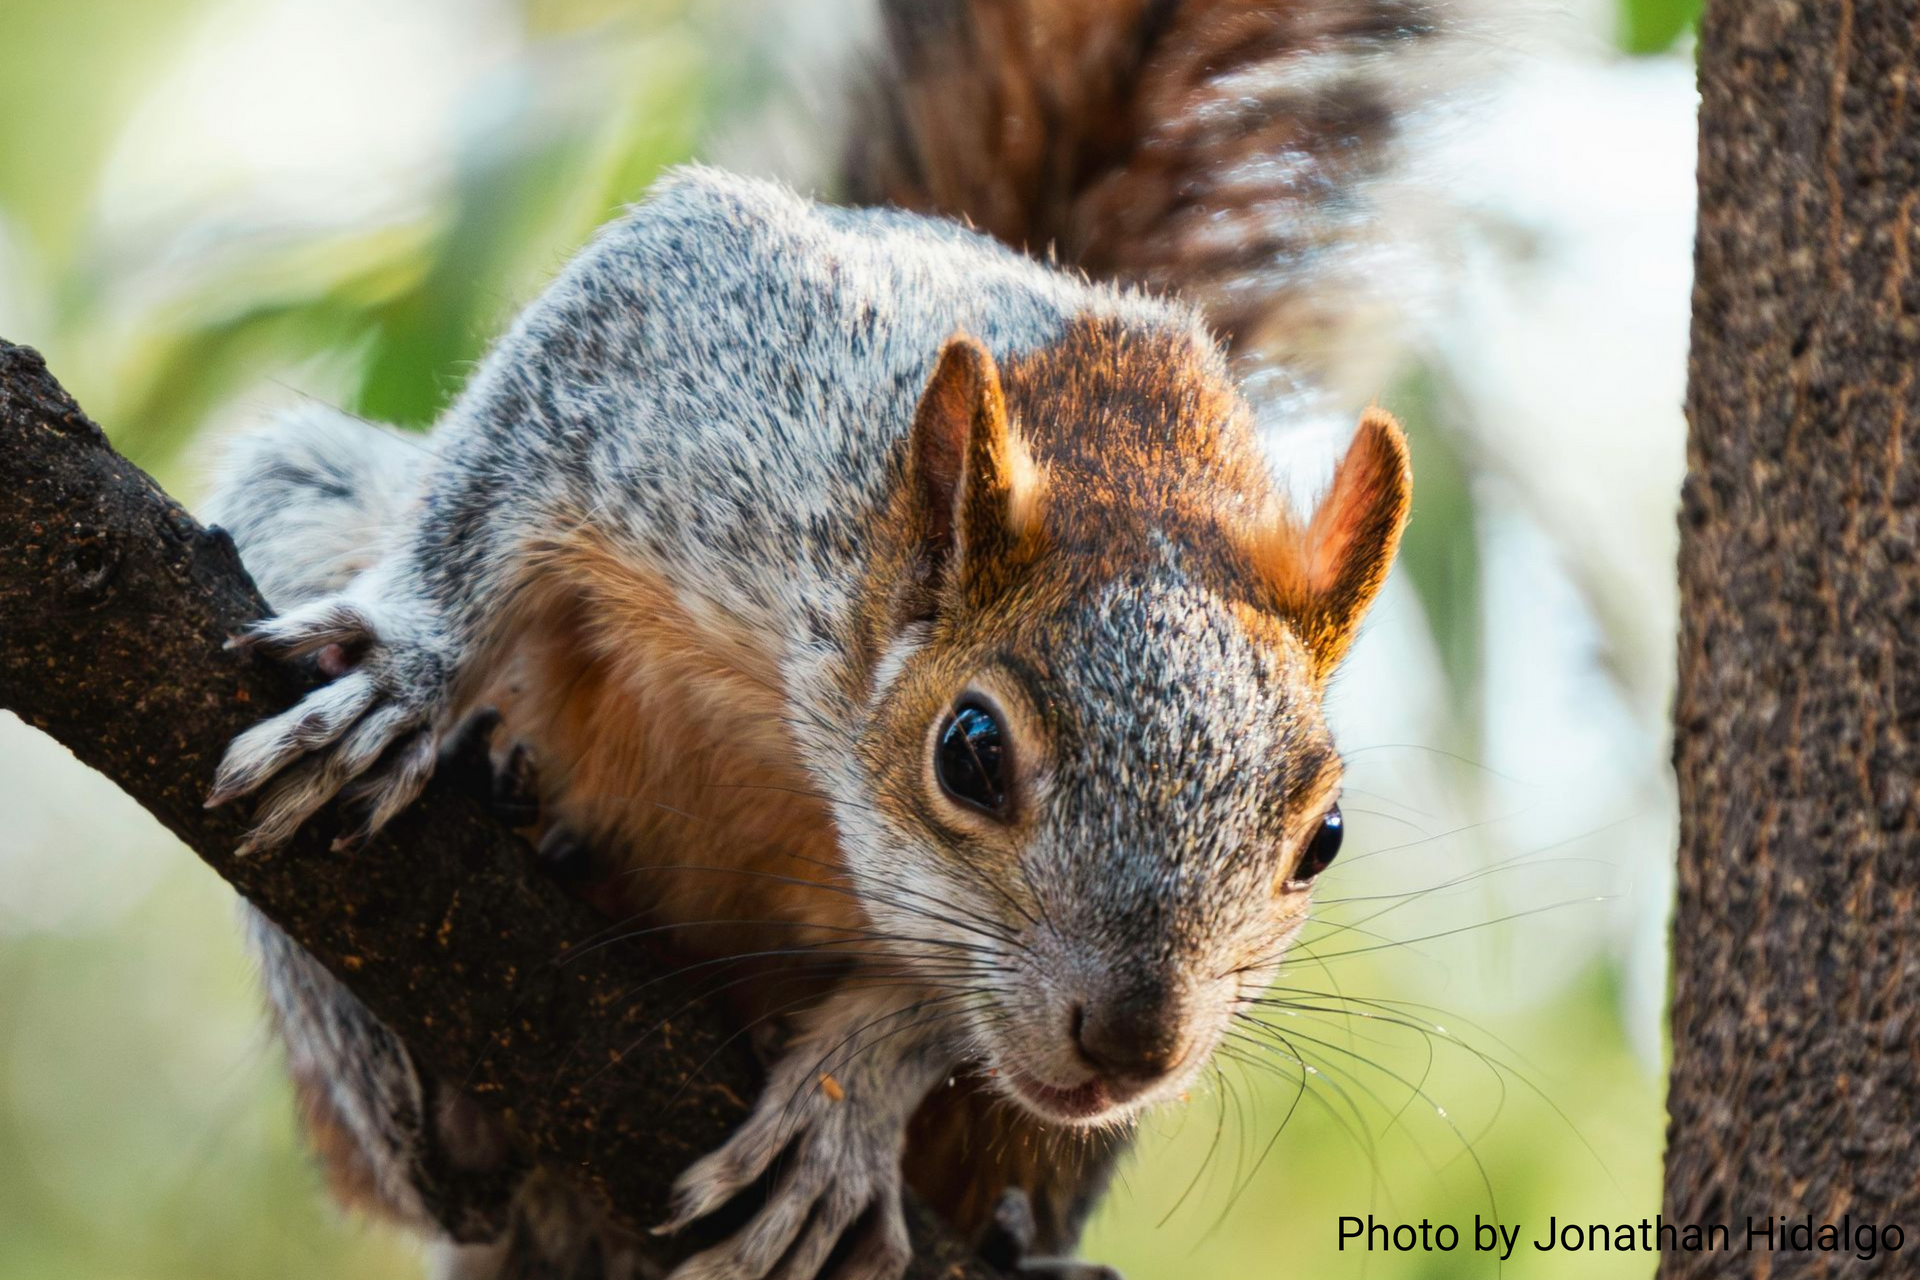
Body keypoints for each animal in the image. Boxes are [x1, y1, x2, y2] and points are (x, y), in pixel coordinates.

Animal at [200, 1, 1435, 1277]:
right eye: (969, 752)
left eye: (1326, 836)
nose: (1135, 1045)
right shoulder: (688, 354)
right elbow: (493, 478)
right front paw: (407, 670)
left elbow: (936, 1000)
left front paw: (854, 1094)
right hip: (303, 504)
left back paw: (1018, 1238)